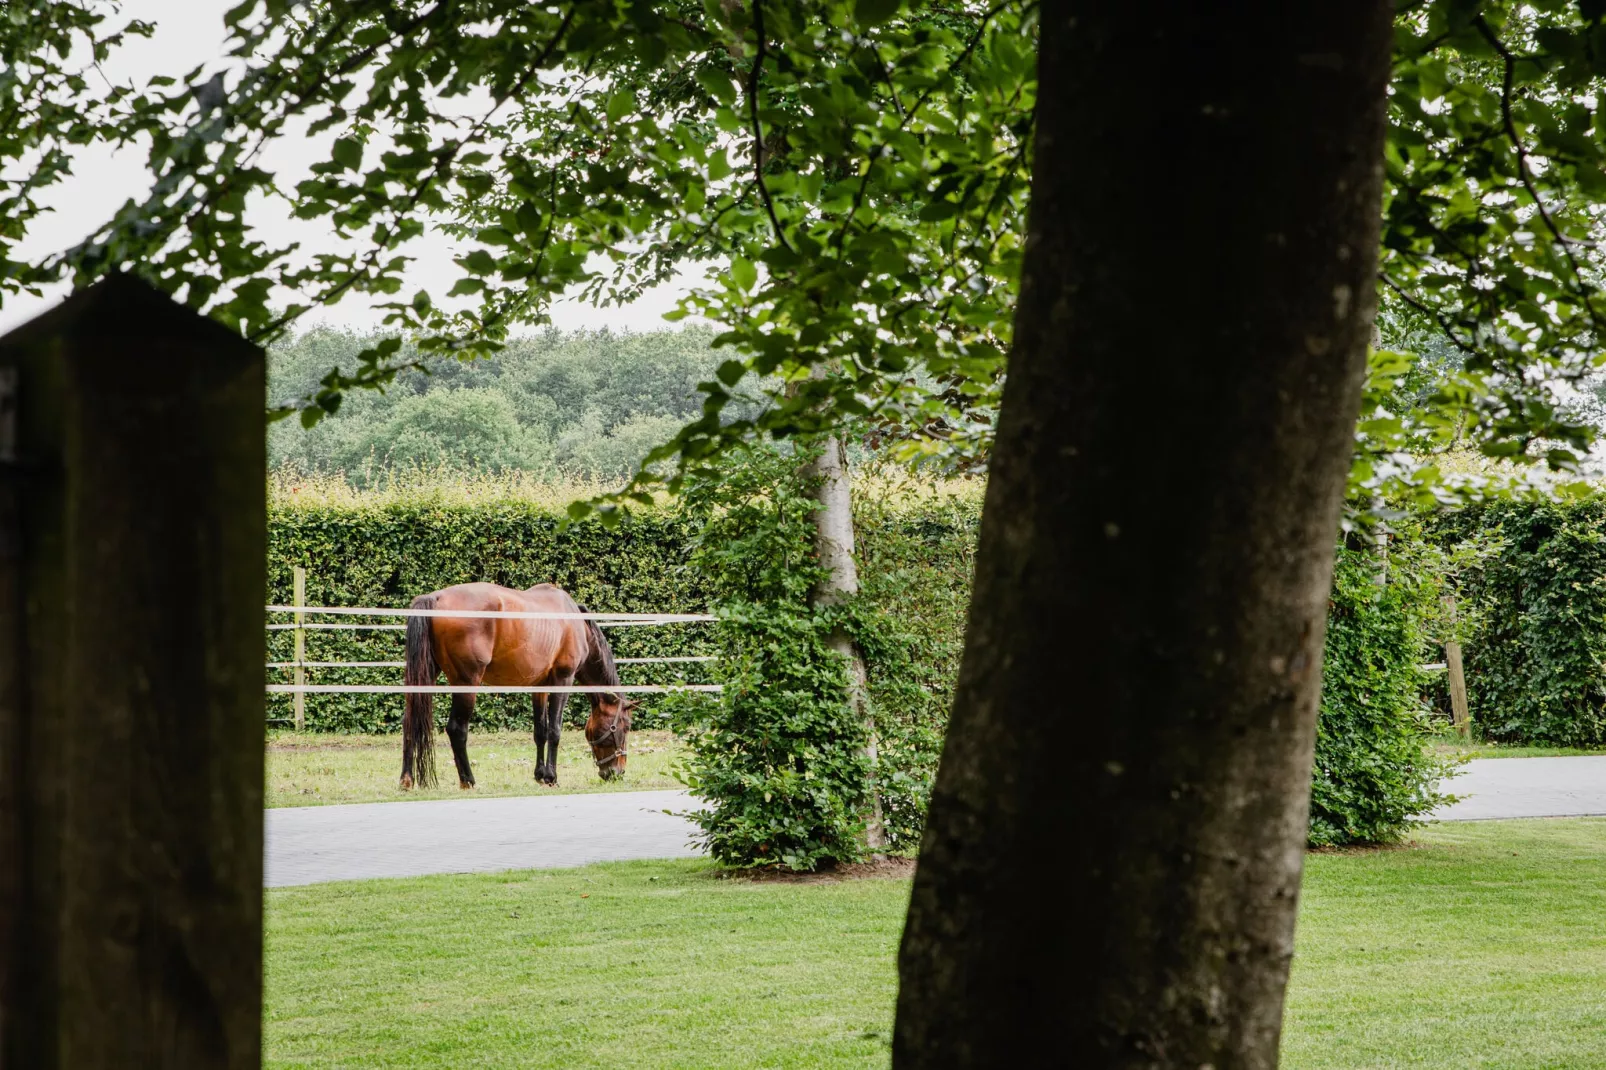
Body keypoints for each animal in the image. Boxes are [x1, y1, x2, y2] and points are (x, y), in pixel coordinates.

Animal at [395, 578, 632, 787]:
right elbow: (554, 730)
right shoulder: (563, 680)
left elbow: (540, 731)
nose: (616, 772)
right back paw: (468, 781)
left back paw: (406, 779)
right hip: (467, 682)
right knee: (456, 729)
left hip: (426, 676)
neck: (574, 622)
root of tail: (436, 597)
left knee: (410, 720)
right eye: (626, 726)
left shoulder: (539, 687)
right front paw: (552, 777)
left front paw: (540, 775)